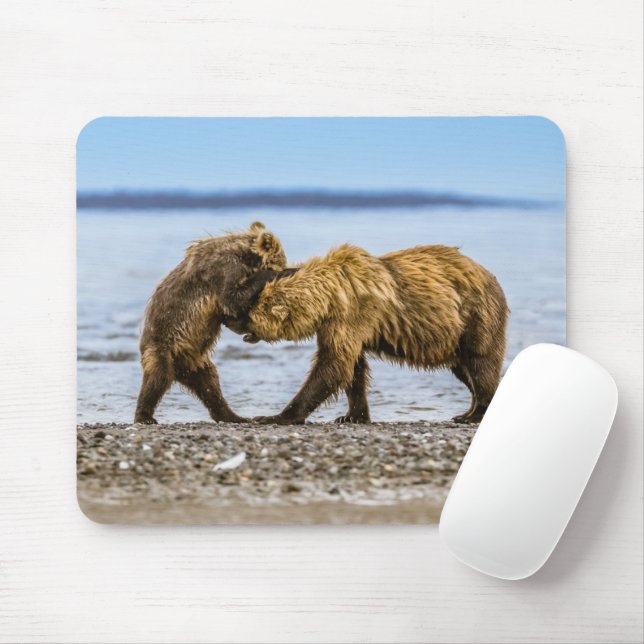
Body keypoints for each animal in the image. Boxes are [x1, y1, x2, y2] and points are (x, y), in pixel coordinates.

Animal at [133, 221, 288, 424]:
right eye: (283, 261)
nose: (286, 266)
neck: (244, 255)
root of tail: (180, 370)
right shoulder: (224, 269)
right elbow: (233, 298)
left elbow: (232, 310)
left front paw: (251, 333)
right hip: (162, 346)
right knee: (158, 378)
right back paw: (144, 416)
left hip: (195, 360)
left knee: (210, 385)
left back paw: (234, 416)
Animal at [225, 243, 509, 425]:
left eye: (246, 310)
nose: (227, 321)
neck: (329, 296)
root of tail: (490, 276)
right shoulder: (338, 324)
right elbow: (353, 368)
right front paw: (352, 415)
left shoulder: (353, 313)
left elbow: (333, 365)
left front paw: (275, 416)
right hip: (455, 337)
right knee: (463, 368)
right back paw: (467, 411)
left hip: (475, 316)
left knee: (480, 362)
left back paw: (475, 413)